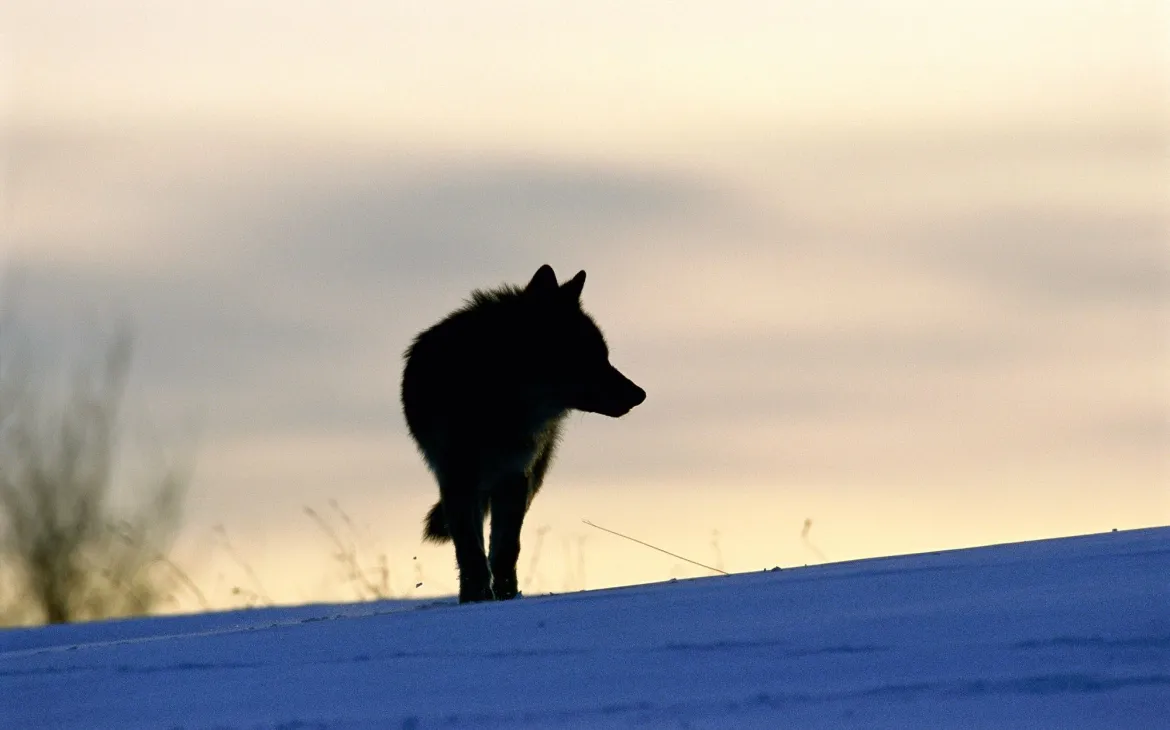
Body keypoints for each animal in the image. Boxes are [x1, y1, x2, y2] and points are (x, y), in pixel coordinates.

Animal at [401, 264, 646, 603]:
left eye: (604, 355)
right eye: (588, 356)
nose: (640, 394)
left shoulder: (515, 477)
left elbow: (506, 550)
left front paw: (506, 598)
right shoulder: (457, 479)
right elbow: (470, 552)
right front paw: (475, 600)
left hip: (531, 478)